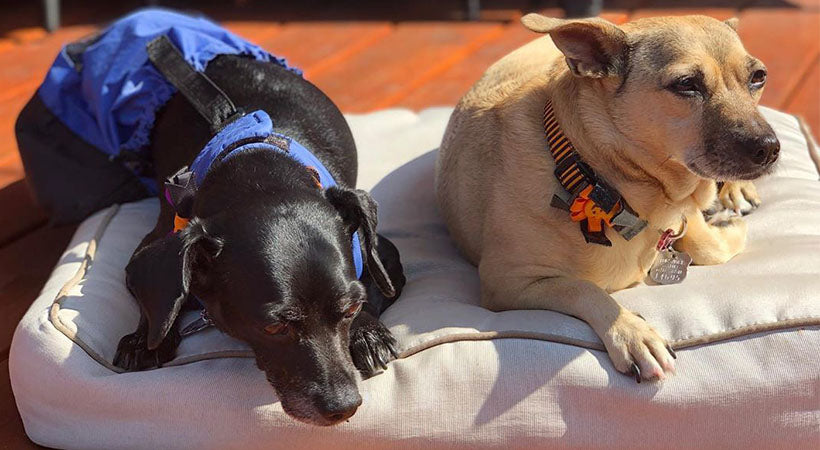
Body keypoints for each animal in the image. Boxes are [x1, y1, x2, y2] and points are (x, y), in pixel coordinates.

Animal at [111, 54, 406, 424]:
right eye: (273, 327)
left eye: (352, 307)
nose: (344, 408)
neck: (260, 178)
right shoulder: (151, 249)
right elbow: (157, 298)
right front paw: (143, 340)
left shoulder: (386, 259)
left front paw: (367, 333)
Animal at [432, 13, 780, 380]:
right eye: (686, 84)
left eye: (758, 77)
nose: (770, 149)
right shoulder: (506, 283)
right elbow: (583, 288)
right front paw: (632, 333)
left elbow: (706, 243)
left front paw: (725, 220)